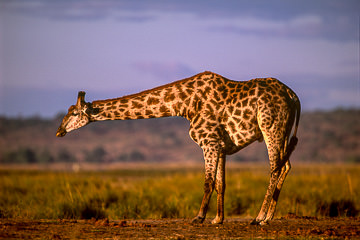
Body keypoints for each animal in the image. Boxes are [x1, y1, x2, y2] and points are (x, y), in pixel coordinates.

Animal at [56, 71, 300, 225]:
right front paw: (217, 219)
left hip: (270, 127)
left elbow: (208, 182)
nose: (59, 131)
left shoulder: (209, 141)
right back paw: (268, 218)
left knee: (275, 167)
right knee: (286, 165)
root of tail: (293, 96)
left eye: (74, 113)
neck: (185, 104)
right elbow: (221, 183)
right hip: (283, 130)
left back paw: (259, 218)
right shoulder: (220, 145)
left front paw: (199, 217)